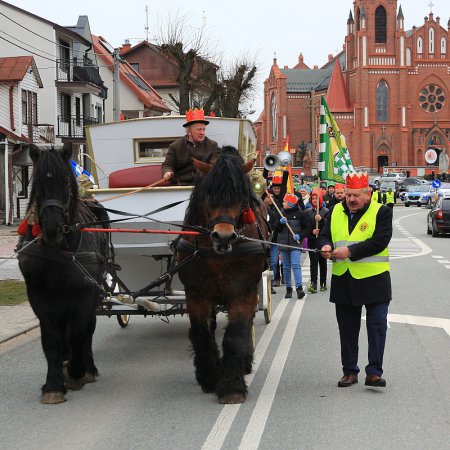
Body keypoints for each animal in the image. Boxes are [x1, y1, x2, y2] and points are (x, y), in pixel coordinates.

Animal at [17, 144, 110, 404]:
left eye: (66, 182)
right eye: (37, 183)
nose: (51, 228)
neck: (59, 248)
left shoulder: (85, 294)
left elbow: (79, 332)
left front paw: (76, 372)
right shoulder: (38, 296)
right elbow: (51, 339)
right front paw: (53, 385)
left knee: (87, 329)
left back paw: (87, 368)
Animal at [176, 145, 268, 404]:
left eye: (240, 197)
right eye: (209, 194)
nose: (223, 237)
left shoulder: (242, 292)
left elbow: (235, 335)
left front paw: (231, 386)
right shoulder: (195, 293)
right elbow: (201, 333)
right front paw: (209, 376)